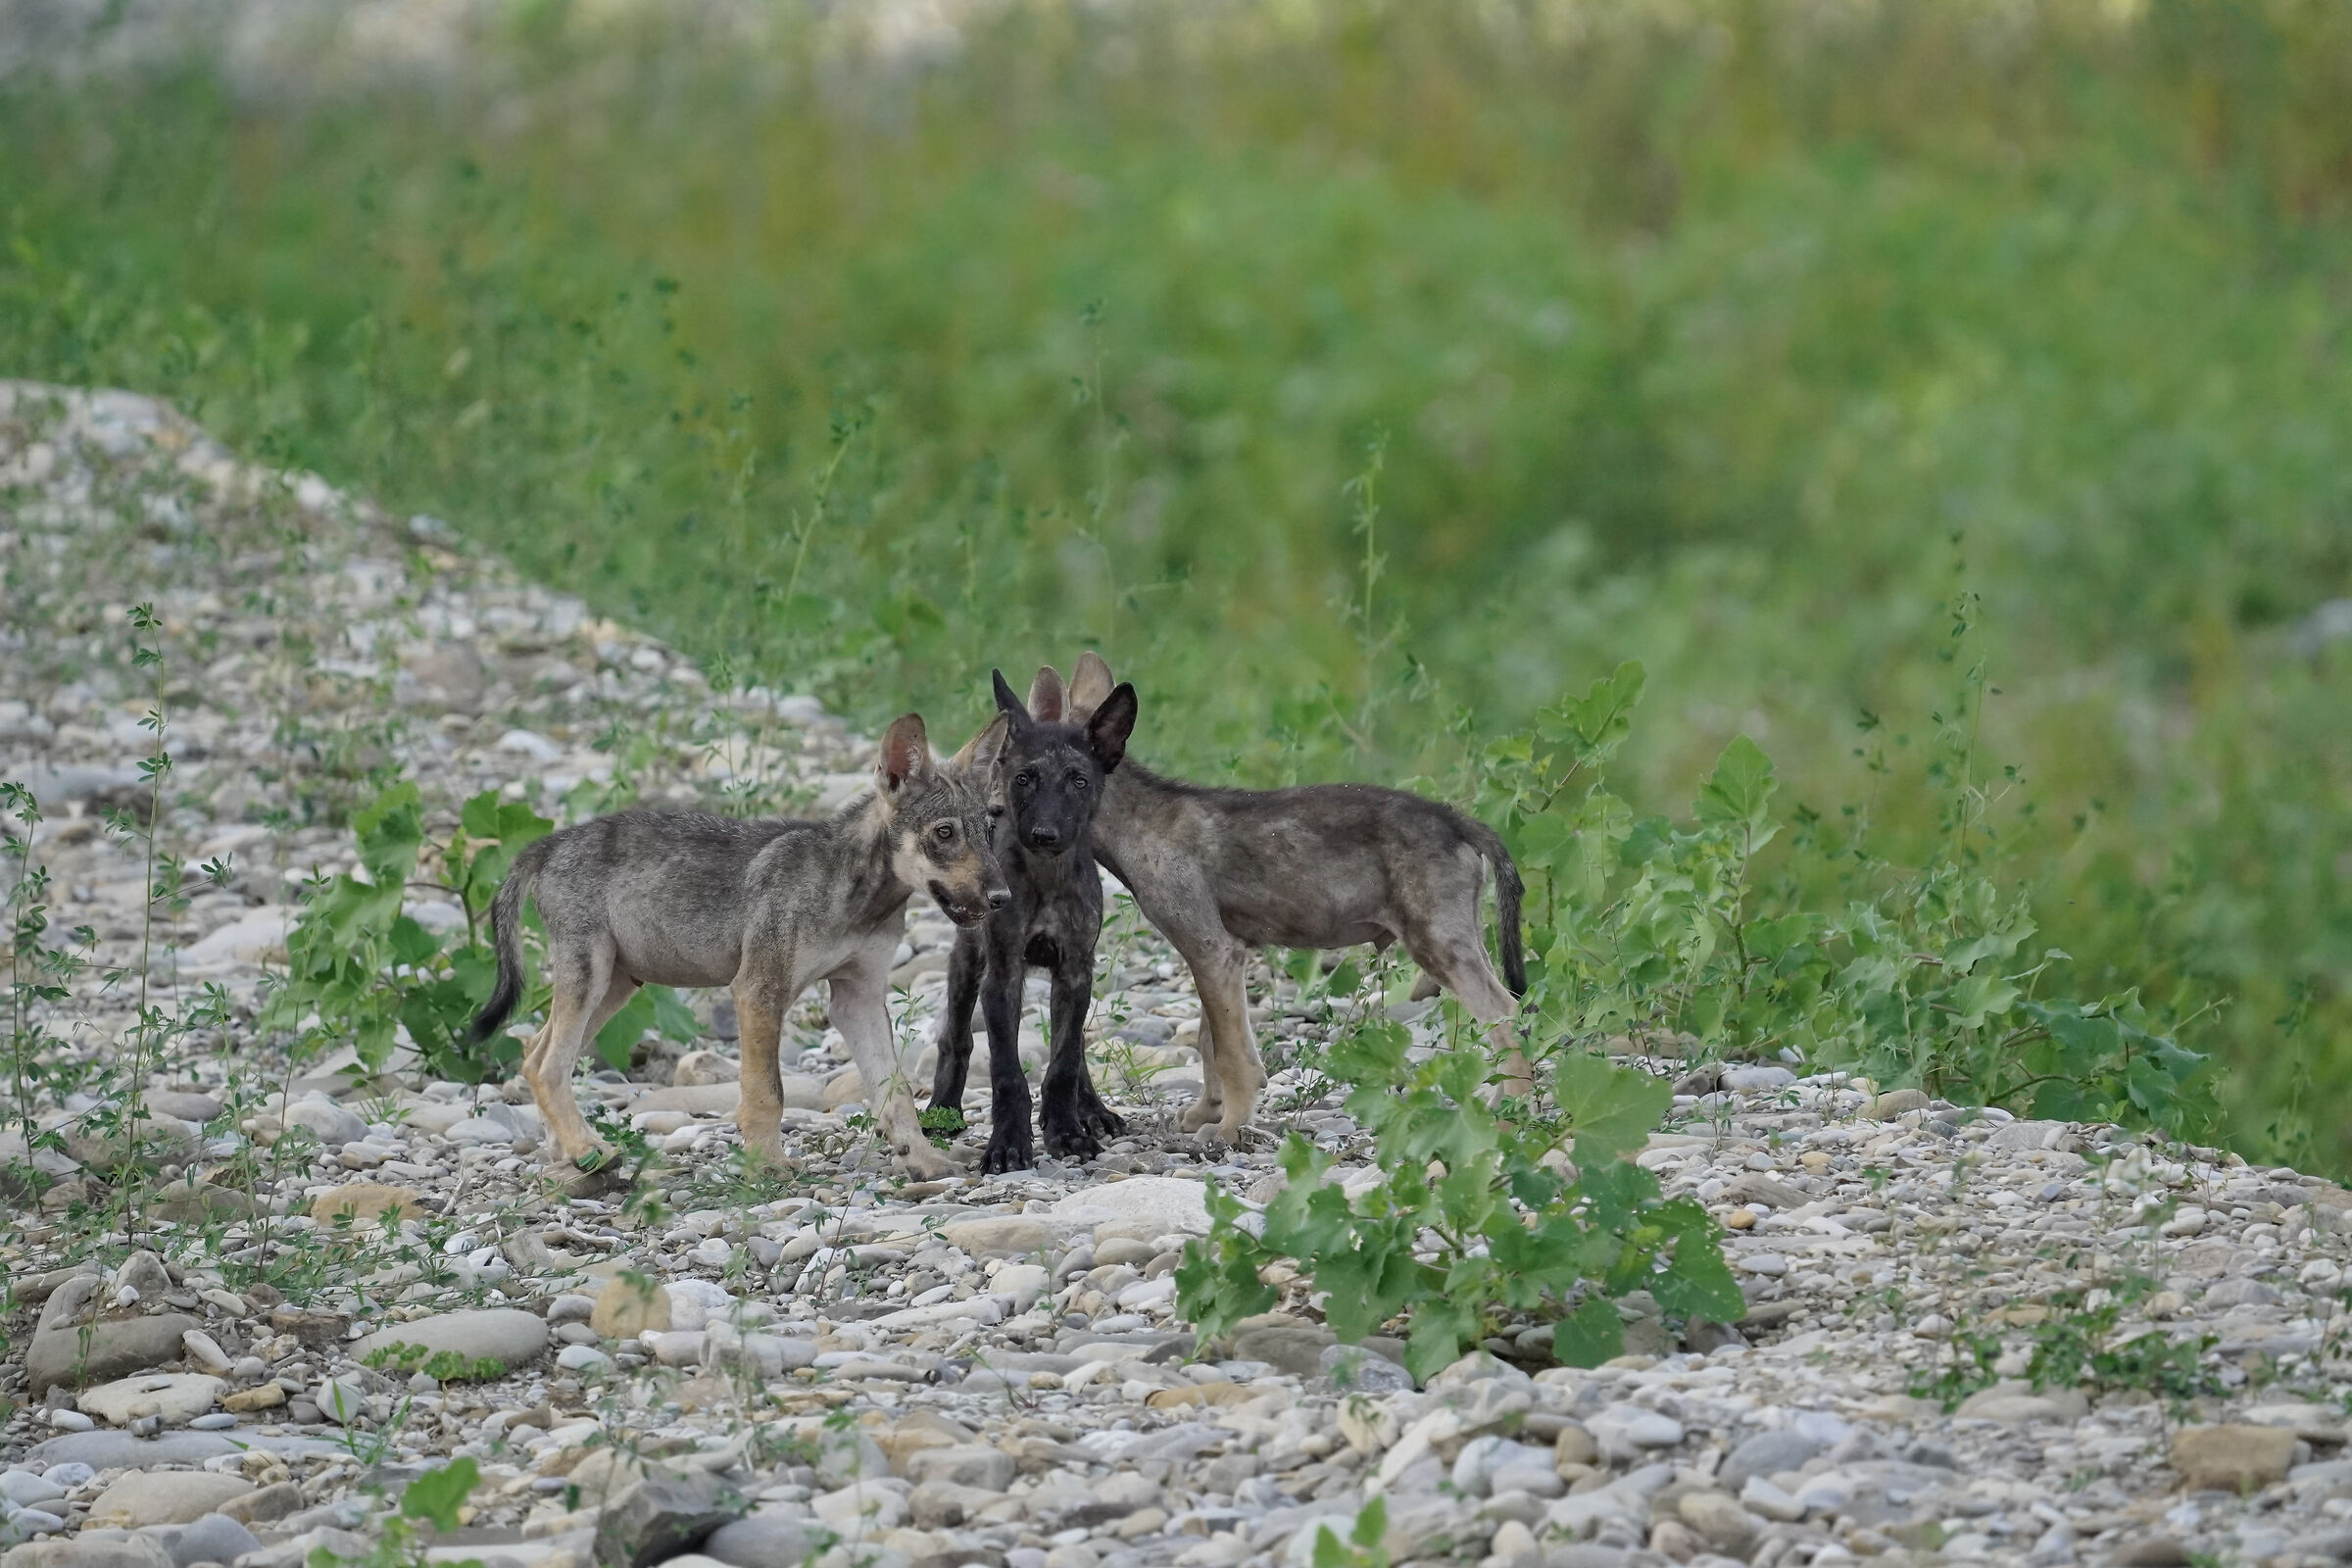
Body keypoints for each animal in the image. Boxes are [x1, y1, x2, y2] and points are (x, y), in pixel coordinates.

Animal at [471, 714, 1006, 1181]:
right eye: (944, 833)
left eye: (989, 831)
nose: (1002, 897)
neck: (856, 896)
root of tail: (547, 845)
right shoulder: (758, 990)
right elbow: (768, 1091)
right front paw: (768, 1165)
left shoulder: (859, 998)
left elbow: (895, 1095)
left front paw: (924, 1161)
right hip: (593, 978)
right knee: (546, 1067)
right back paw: (589, 1148)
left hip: (615, 987)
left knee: (533, 1056)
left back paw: (569, 1156)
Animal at [930, 666, 1139, 1172]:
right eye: (1024, 778)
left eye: (1079, 781)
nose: (1045, 834)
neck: (1046, 878)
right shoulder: (1002, 976)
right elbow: (1006, 1071)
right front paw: (1008, 1143)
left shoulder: (1075, 971)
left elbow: (1064, 1060)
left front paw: (1067, 1129)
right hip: (968, 961)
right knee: (955, 1037)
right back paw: (942, 1110)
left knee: (1076, 1048)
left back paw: (1093, 1110)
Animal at [1061, 652, 1525, 1143]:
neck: (1137, 825)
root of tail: (1458, 821)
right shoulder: (1219, 952)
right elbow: (1209, 1041)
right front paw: (1206, 1112)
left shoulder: (1211, 949)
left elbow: (1231, 1053)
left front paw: (1228, 1129)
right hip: (1467, 939)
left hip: (1435, 943)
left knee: (1507, 1016)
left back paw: (1507, 1116)